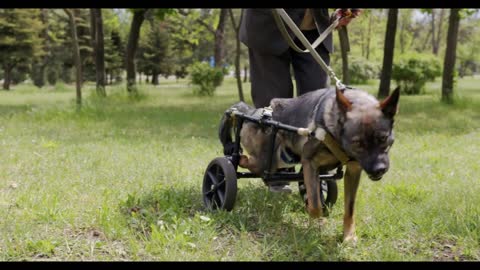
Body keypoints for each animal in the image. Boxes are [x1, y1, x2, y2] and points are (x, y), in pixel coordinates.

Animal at [219, 87, 400, 243]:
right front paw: (318, 226)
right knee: (248, 163)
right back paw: (233, 158)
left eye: (383, 138)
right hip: (267, 159)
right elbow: (315, 205)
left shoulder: (353, 171)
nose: (379, 169)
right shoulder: (309, 162)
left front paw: (348, 236)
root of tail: (251, 112)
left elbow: (349, 208)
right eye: (358, 143)